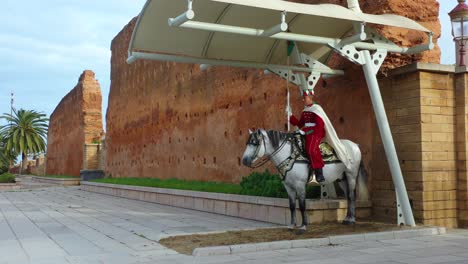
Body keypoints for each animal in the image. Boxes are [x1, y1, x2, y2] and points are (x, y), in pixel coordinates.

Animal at [241, 129, 370, 234]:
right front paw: (291, 225)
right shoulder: (289, 187)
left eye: (255, 143)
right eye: (247, 143)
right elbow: (292, 206)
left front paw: (303, 226)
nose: (244, 161)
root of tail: (355, 145)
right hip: (342, 179)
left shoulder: (300, 185)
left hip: (351, 175)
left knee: (352, 196)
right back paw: (347, 218)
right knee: (348, 196)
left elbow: (302, 205)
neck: (290, 155)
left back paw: (351, 220)